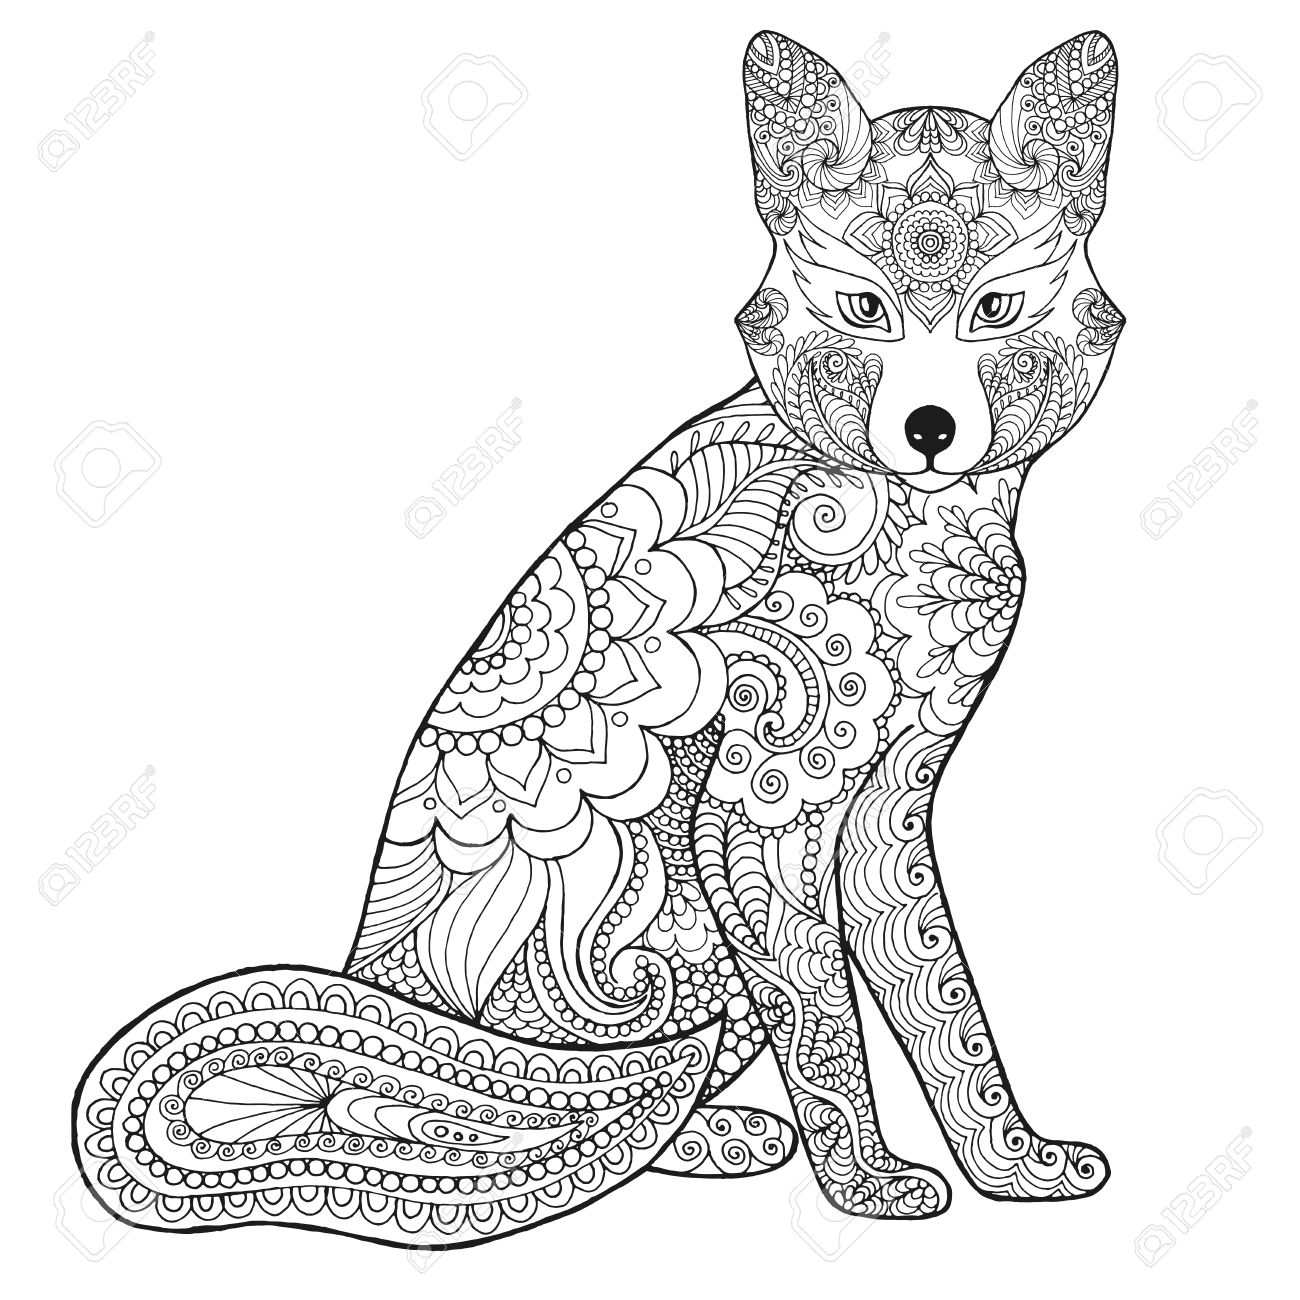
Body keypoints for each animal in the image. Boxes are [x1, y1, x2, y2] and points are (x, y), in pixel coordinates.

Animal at [74, 29, 1124, 1249]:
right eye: (863, 309)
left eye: (996, 309)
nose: (929, 430)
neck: (921, 526)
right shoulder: (761, 809)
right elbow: (826, 1022)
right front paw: (864, 1184)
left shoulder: (886, 813)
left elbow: (946, 1009)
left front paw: (1015, 1170)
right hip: (658, 923)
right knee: (470, 1120)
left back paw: (724, 1139)